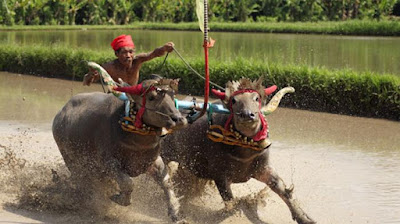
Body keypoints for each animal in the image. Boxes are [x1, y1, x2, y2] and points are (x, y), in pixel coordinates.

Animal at [52, 76, 188, 222]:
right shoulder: (108, 162)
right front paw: (118, 198)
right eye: (151, 97)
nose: (178, 119)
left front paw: (175, 213)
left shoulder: (153, 161)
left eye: (172, 96)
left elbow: (166, 183)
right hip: (72, 160)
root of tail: (60, 114)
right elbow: (127, 183)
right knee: (82, 180)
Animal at [162, 78, 316, 223]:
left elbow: (282, 190)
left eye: (256, 98)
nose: (247, 115)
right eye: (234, 101)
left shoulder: (263, 168)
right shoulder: (220, 176)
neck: (244, 147)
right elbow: (231, 203)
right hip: (166, 155)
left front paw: (305, 218)